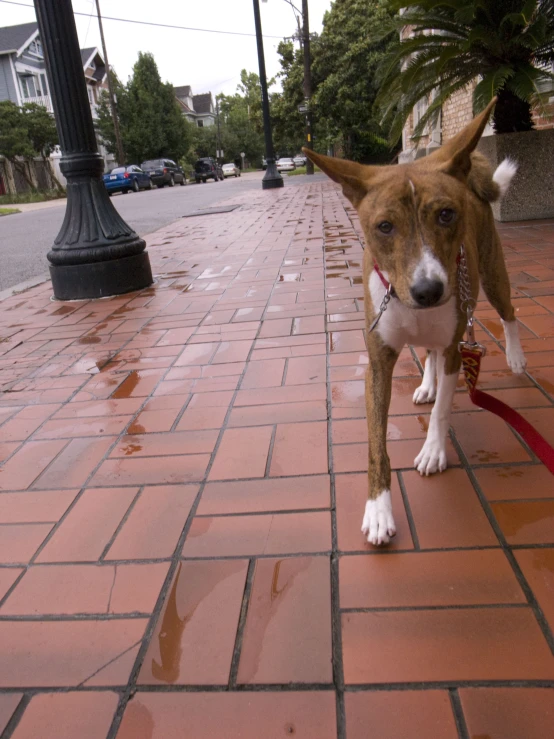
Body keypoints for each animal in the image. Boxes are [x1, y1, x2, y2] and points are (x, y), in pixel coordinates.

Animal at [304, 98, 524, 548]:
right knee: (429, 352)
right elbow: (376, 444)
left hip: (493, 277)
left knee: (508, 314)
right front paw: (378, 509)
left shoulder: (459, 345)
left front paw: (434, 450)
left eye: (446, 215)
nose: (429, 290)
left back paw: (514, 357)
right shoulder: (379, 362)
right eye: (384, 226)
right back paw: (426, 384)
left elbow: (442, 410)